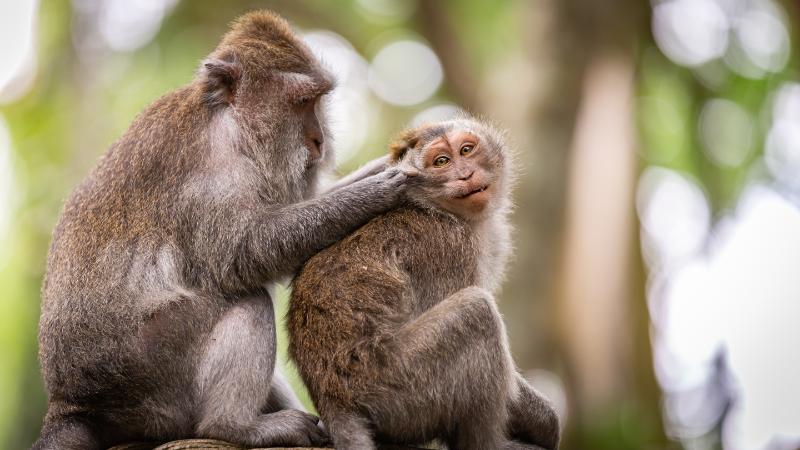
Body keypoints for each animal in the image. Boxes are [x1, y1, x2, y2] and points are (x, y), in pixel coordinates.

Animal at [34, 11, 417, 450]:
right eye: (303, 101)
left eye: (318, 100)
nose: (319, 140)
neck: (230, 120)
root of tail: (71, 404)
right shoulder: (213, 172)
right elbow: (245, 253)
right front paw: (375, 193)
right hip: (153, 374)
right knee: (247, 300)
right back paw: (234, 426)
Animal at [288, 117, 561, 450]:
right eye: (441, 162)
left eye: (466, 150)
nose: (465, 174)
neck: (438, 208)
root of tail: (333, 401)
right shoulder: (450, 249)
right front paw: (544, 420)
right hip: (398, 388)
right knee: (477, 312)